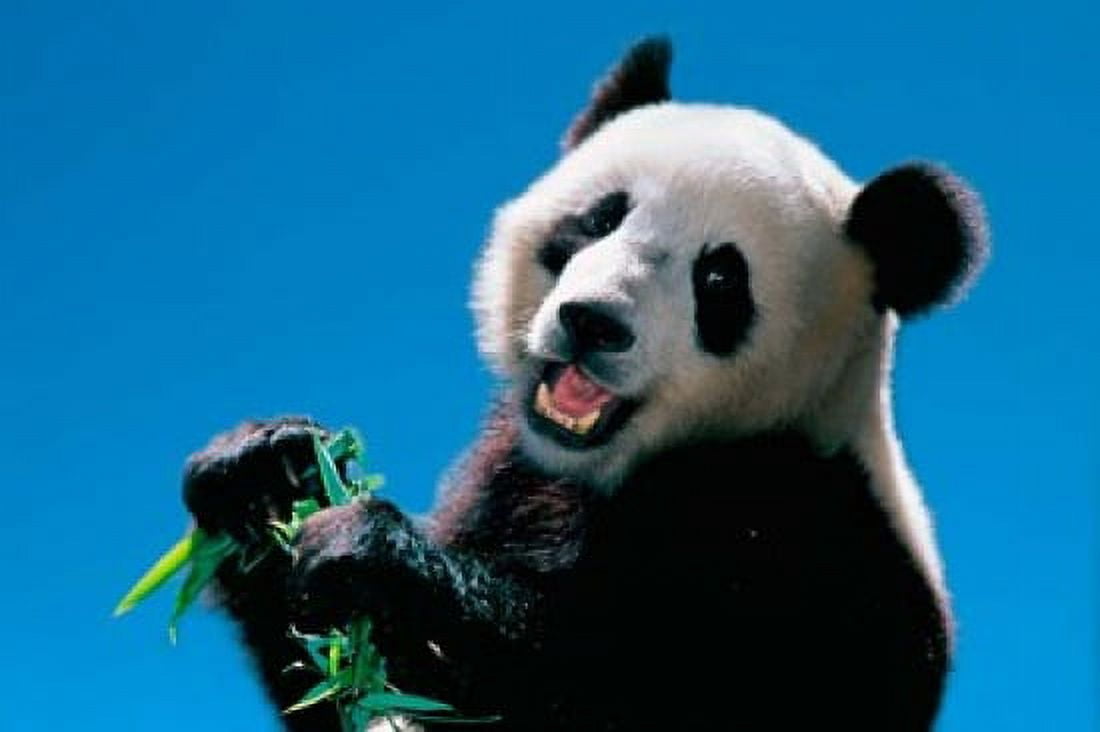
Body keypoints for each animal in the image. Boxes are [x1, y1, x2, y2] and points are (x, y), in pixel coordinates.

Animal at [183, 37, 987, 731]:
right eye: (600, 219)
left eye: (719, 279)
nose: (592, 322)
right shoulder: (510, 478)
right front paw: (266, 472)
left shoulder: (810, 548)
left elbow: (618, 694)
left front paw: (371, 555)